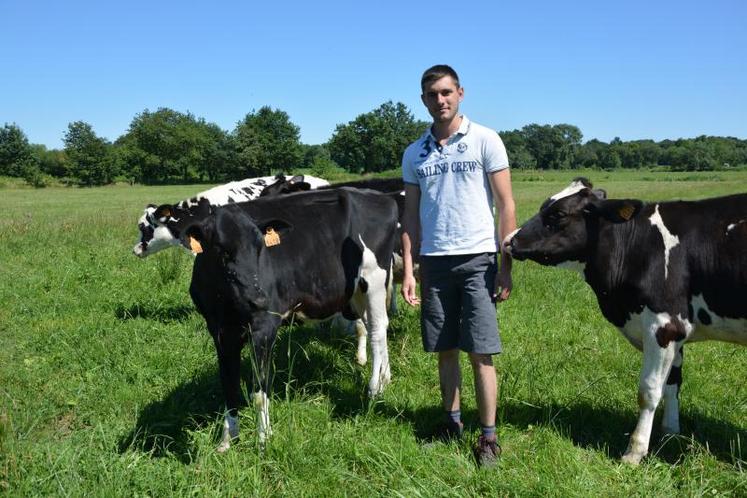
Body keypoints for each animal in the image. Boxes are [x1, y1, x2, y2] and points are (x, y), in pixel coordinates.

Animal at [181, 187, 400, 452]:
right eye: (221, 250)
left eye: (260, 248)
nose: (259, 298)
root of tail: (378, 195)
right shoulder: (220, 331)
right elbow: (229, 386)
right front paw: (227, 440)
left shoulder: (264, 326)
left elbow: (259, 391)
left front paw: (263, 440)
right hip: (356, 290)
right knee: (375, 325)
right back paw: (385, 379)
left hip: (374, 278)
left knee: (377, 330)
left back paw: (374, 388)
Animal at [502, 178, 747, 462]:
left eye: (558, 214)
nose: (508, 240)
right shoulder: (678, 329)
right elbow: (672, 384)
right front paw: (670, 433)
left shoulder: (664, 326)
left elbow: (649, 391)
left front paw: (635, 452)